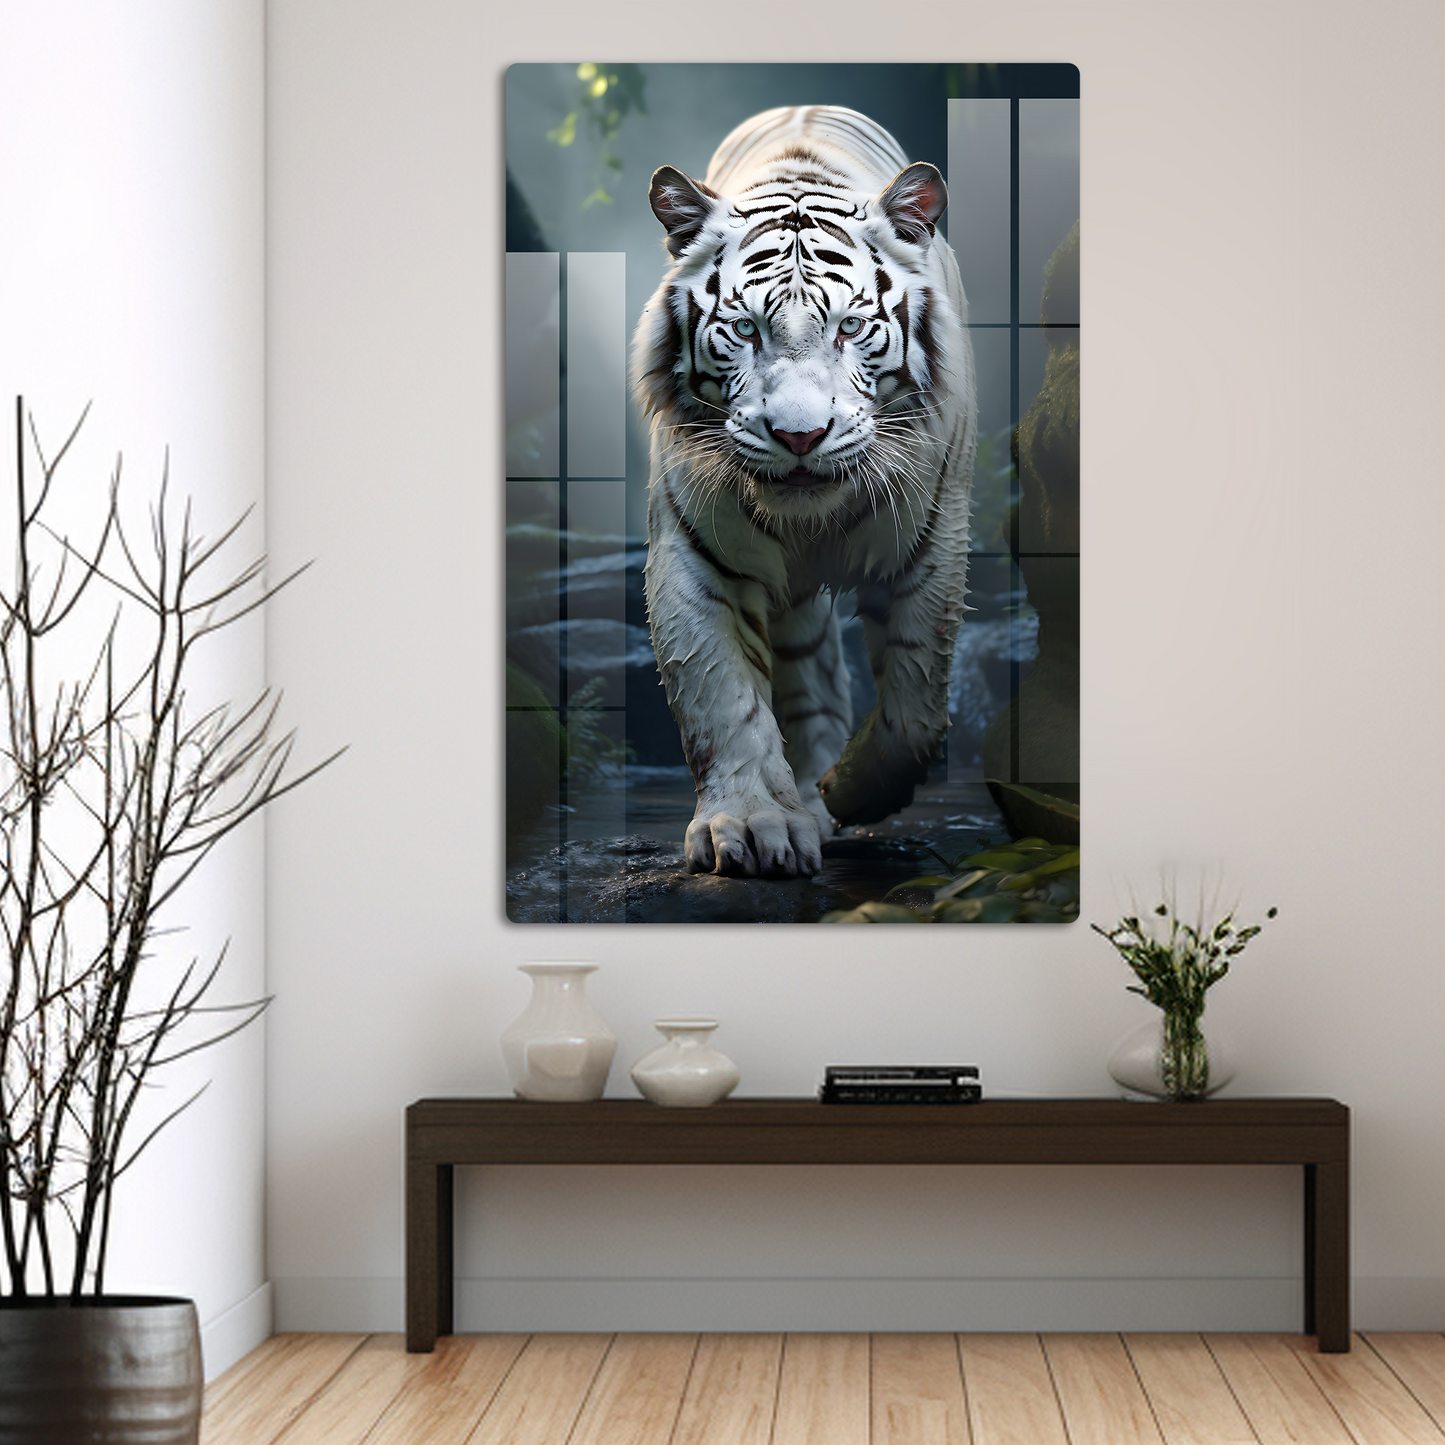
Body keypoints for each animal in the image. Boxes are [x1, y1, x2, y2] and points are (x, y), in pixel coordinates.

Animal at [632, 105, 977, 880]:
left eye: (850, 326)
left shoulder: (932, 539)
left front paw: (847, 790)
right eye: (743, 329)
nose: (798, 436)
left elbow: (915, 708)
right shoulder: (696, 551)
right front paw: (754, 825)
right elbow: (723, 699)